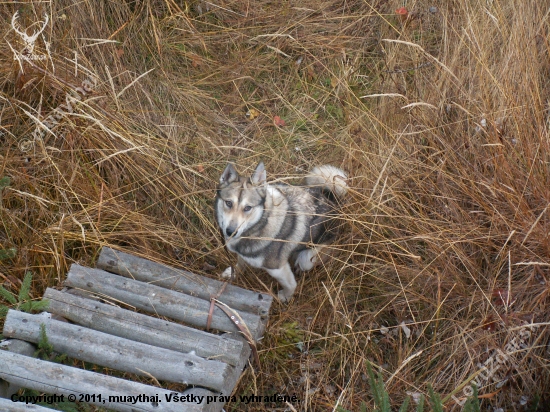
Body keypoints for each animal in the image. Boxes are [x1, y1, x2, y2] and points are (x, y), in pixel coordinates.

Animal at [215, 162, 348, 302]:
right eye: (228, 203)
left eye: (247, 208)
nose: (231, 232)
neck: (261, 223)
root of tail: (333, 202)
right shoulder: (244, 253)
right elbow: (240, 263)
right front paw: (233, 273)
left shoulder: (278, 269)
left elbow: (291, 285)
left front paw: (284, 297)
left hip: (307, 259)